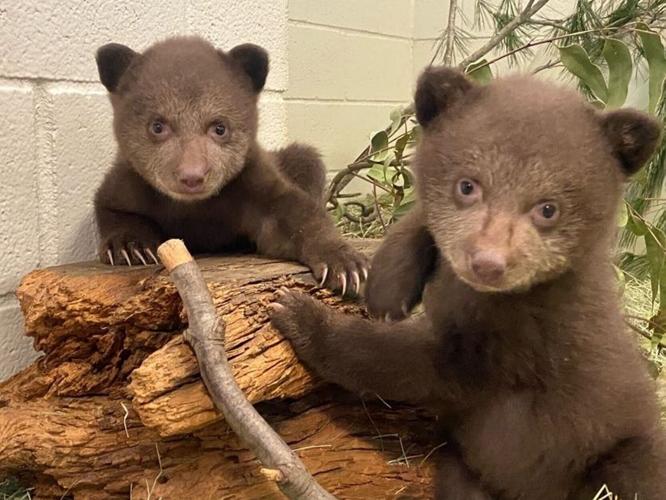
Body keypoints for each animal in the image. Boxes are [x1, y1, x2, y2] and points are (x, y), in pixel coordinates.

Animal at [93, 36, 367, 295]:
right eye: (157, 125)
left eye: (219, 127)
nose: (192, 176)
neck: (192, 207)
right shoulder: (131, 182)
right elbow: (111, 205)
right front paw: (130, 246)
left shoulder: (249, 184)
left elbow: (293, 212)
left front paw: (345, 265)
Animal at [270, 66, 666, 499]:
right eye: (467, 185)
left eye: (548, 209)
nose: (488, 264)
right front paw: (387, 286)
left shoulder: (521, 338)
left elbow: (407, 360)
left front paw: (301, 315)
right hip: (463, 466)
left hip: (622, 452)